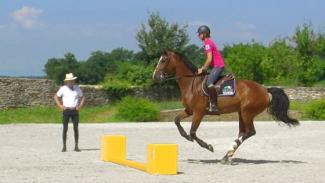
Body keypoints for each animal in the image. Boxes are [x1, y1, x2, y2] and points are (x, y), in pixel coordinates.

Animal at [153, 49, 298, 163]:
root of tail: (265, 90)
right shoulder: (189, 110)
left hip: (247, 113)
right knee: (243, 132)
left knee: (250, 132)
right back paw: (228, 154)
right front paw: (186, 137)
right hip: (241, 113)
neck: (191, 83)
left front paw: (208, 146)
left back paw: (230, 151)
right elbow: (176, 120)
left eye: (163, 60)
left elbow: (193, 132)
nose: (155, 76)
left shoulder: (199, 112)